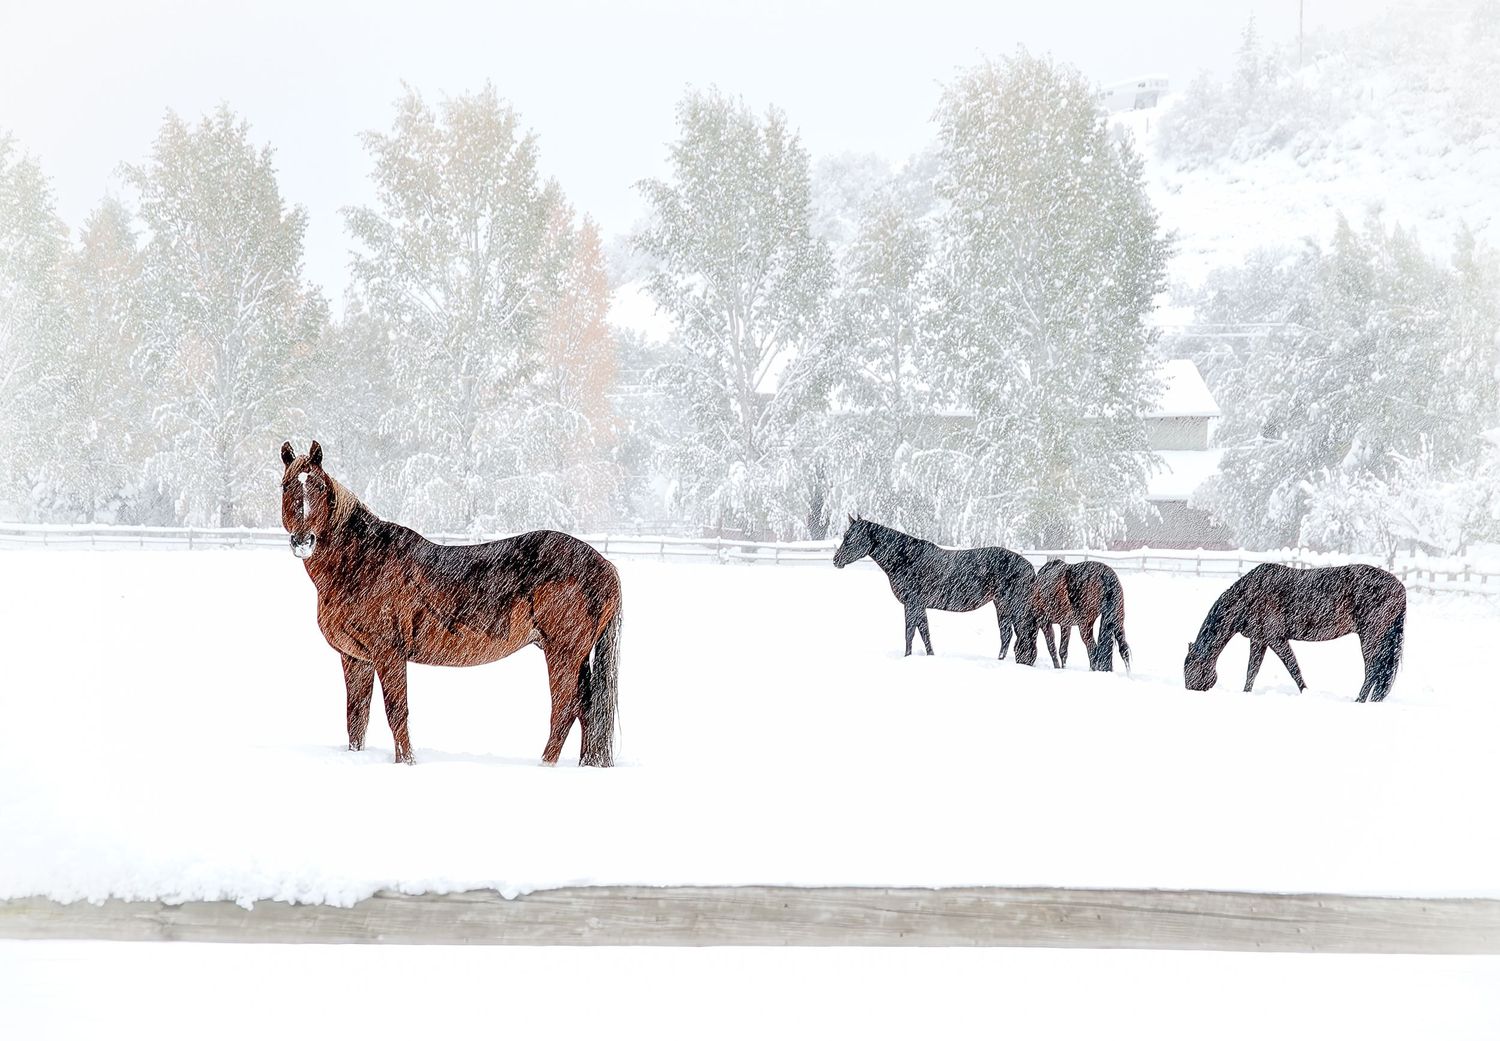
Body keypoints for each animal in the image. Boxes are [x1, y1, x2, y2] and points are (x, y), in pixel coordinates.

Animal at [278, 441, 622, 765]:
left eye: (320, 487)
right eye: (285, 486)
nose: (303, 541)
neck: (361, 562)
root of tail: (605, 565)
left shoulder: (389, 654)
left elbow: (396, 712)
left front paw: (407, 762)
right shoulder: (355, 658)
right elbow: (356, 717)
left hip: (563, 654)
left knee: (565, 710)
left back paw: (545, 765)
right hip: (577, 657)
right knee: (587, 711)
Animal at [832, 515, 1039, 665]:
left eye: (851, 537)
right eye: (845, 536)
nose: (836, 560)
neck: (906, 558)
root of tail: (1029, 567)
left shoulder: (911, 604)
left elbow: (909, 632)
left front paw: (907, 657)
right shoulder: (919, 606)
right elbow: (924, 632)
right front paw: (930, 655)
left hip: (1011, 606)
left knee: (1014, 634)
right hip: (1002, 606)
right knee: (1007, 635)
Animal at [1183, 562, 1405, 702]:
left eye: (1190, 668)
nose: (1188, 691)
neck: (1249, 595)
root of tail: (1400, 587)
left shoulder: (1276, 638)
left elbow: (1293, 668)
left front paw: (1305, 692)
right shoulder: (1259, 640)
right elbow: (1252, 671)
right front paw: (1246, 693)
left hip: (1370, 636)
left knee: (1372, 669)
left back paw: (1359, 700)